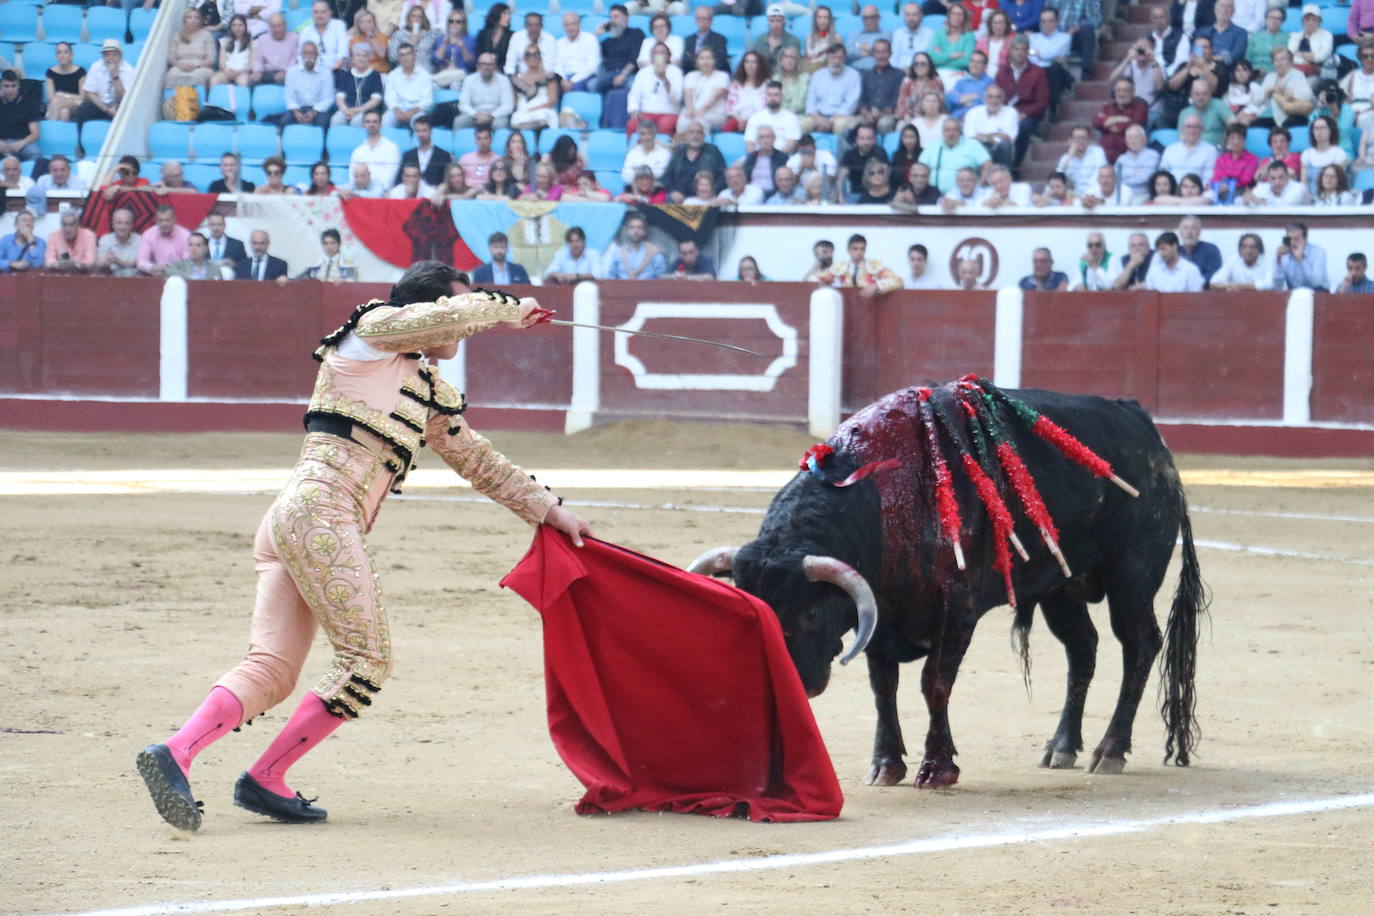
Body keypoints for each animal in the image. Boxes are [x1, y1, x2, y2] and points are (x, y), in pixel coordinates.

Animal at [687, 379, 1203, 791]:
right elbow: (883, 687)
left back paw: (1109, 751)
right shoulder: (882, 613)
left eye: (811, 611)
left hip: (1132, 576)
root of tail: (1141, 421)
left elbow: (933, 681)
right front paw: (885, 765)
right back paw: (1061, 747)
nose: (793, 683)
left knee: (1138, 645)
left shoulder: (958, 608)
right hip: (1062, 587)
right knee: (1083, 649)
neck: (887, 496)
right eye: (751, 607)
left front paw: (937, 768)